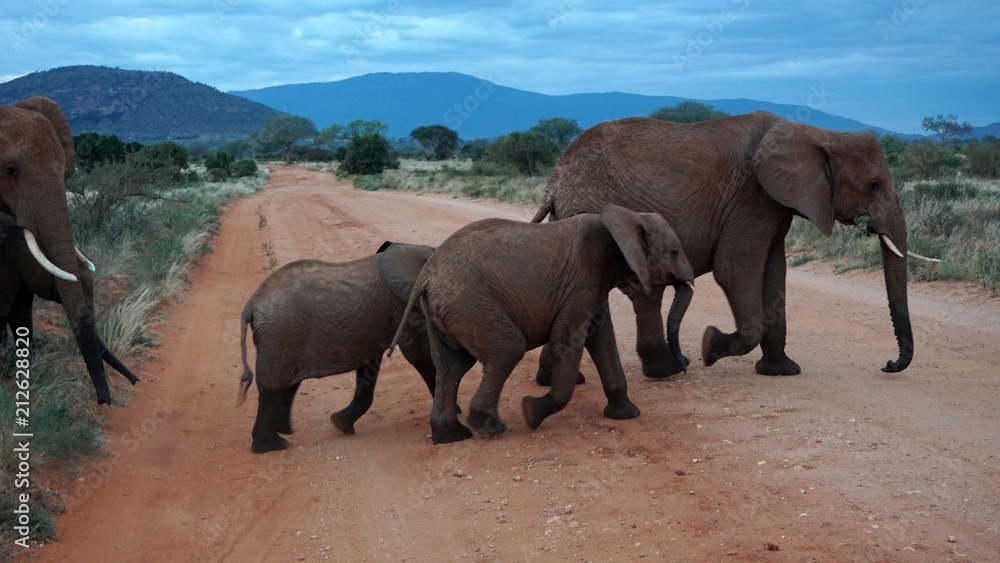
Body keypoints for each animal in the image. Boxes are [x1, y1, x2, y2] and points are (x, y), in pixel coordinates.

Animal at [237, 241, 437, 454]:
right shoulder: (405, 304)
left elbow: (369, 364)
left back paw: (284, 431)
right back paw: (273, 446)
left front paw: (340, 424)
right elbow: (419, 354)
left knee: (289, 383)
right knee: (271, 388)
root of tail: (252, 303)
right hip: (279, 334)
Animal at [389, 204, 694, 444]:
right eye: (674, 252)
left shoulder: (595, 284)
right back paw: (491, 428)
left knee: (450, 367)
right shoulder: (582, 281)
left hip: (446, 311)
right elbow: (567, 340)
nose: (684, 365)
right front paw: (531, 413)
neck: (627, 216)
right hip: (470, 304)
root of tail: (427, 274)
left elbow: (602, 337)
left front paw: (627, 415)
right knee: (507, 350)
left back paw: (451, 436)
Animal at [532, 112, 919, 378]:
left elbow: (774, 274)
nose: (888, 364)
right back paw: (666, 370)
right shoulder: (751, 198)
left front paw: (781, 371)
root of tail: (554, 180)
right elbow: (734, 270)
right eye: (873, 185)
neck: (818, 133)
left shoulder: (774, 205)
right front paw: (709, 348)